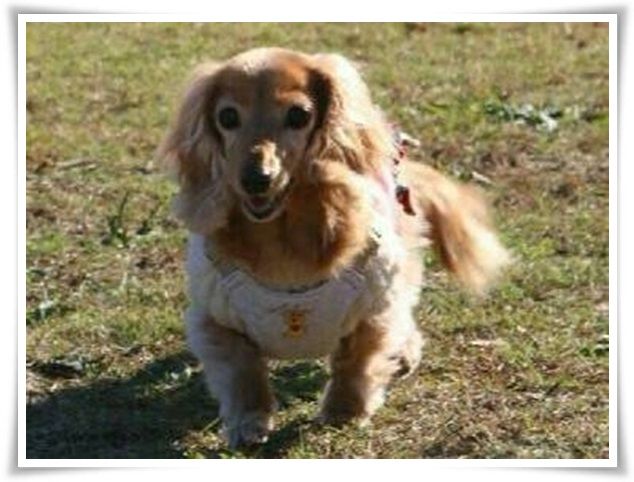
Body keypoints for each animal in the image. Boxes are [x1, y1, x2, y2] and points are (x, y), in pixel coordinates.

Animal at [158, 47, 510, 448]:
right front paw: (248, 423)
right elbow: (242, 375)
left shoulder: (372, 308)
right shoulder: (216, 320)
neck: (281, 240)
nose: (255, 179)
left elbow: (356, 365)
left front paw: (344, 412)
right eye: (227, 117)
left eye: (298, 115)